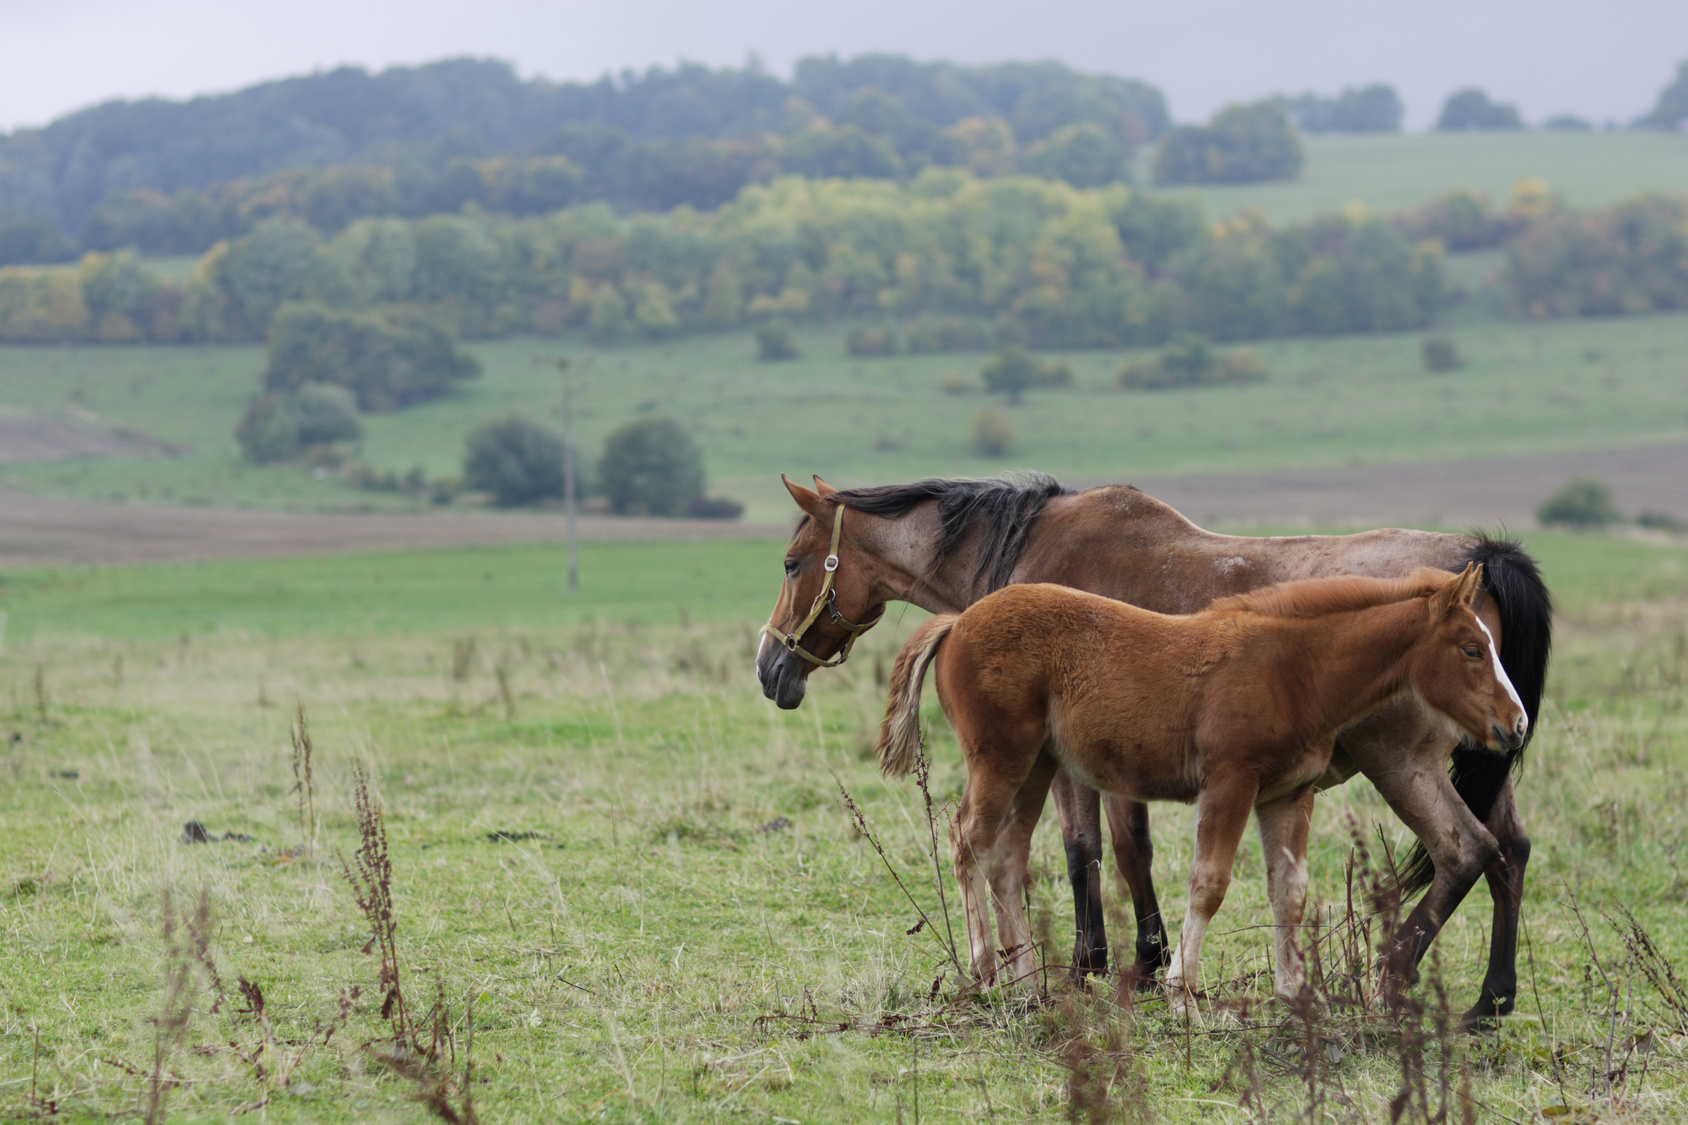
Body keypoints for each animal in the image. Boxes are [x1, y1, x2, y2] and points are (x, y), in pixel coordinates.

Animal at [871, 564, 1532, 1000]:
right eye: (1471, 649)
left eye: (1490, 644)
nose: (1517, 723)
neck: (1295, 669)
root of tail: (958, 621)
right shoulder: (1229, 782)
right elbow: (1208, 882)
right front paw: (1182, 987)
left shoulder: (1287, 795)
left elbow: (1289, 891)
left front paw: (1295, 993)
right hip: (1001, 757)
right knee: (967, 840)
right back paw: (986, 965)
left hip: (1036, 765)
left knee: (1007, 854)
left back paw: (1027, 977)